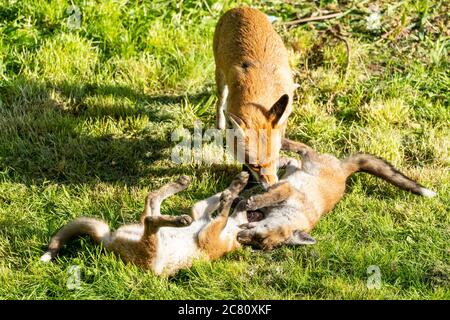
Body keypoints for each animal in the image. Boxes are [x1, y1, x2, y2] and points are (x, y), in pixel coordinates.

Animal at [40, 172, 251, 276]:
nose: (247, 202)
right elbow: (220, 199)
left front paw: (229, 198)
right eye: (250, 214)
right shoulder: (201, 212)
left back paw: (179, 219)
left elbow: (222, 214)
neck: (231, 233)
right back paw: (181, 185)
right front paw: (237, 186)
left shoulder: (208, 235)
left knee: (150, 220)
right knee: (151, 199)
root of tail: (106, 242)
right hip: (151, 226)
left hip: (153, 251)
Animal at [214, 7, 298, 189]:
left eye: (275, 158)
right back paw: (219, 125)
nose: (272, 187)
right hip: (220, 78)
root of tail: (242, 7)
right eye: (255, 165)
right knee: (219, 103)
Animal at [237, 138, 438, 250]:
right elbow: (273, 195)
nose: (239, 238)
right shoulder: (289, 190)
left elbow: (267, 199)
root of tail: (345, 171)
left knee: (296, 158)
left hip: (303, 167)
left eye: (259, 242)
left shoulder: (286, 191)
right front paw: (255, 200)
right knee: (303, 148)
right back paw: (282, 146)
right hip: (310, 162)